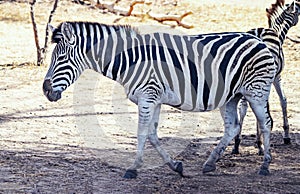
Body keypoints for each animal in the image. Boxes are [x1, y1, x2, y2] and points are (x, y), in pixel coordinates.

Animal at [42, 20, 276, 177]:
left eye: (61, 58)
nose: (45, 90)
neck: (130, 59)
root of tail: (257, 39)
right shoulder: (153, 99)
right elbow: (152, 135)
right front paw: (175, 166)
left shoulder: (147, 97)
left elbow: (141, 133)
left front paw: (132, 168)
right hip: (231, 96)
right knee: (233, 127)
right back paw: (210, 163)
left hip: (256, 91)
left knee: (266, 123)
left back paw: (265, 166)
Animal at [232, 0, 300, 155]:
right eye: (299, 12)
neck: (278, 32)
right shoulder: (276, 76)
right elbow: (283, 101)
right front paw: (286, 136)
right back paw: (259, 143)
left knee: (243, 106)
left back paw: (237, 143)